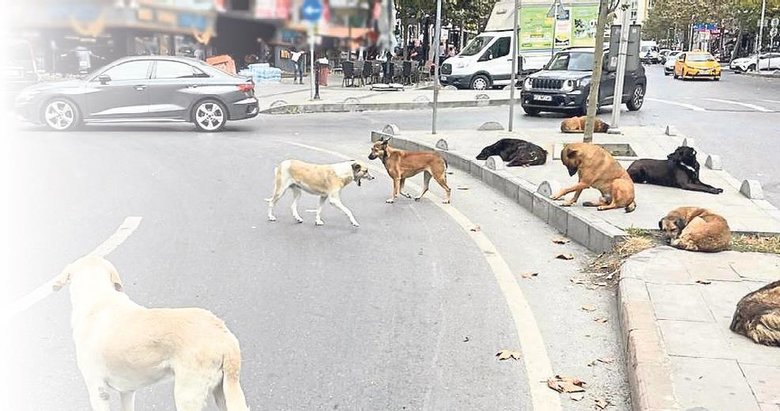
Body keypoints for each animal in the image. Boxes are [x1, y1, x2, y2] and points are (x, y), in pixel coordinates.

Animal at [52, 256, 247, 410]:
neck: (98, 296)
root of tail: (224, 335)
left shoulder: (98, 390)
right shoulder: (127, 391)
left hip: (187, 395)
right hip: (223, 392)